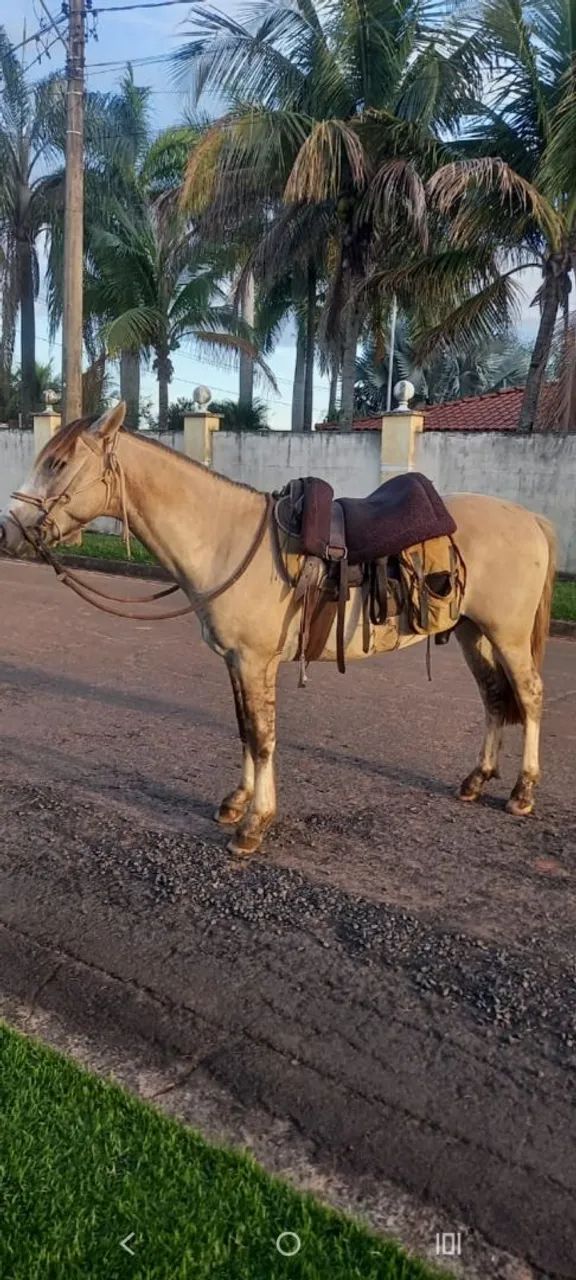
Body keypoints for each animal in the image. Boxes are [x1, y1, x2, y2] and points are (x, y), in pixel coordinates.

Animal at [0, 402, 556, 856]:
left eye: (57, 464)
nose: (8, 531)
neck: (224, 539)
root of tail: (530, 518)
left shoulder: (254, 660)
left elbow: (263, 737)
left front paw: (255, 824)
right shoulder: (235, 660)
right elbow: (245, 730)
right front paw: (236, 802)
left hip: (506, 636)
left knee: (528, 696)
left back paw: (522, 791)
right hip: (472, 632)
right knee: (493, 698)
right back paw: (477, 779)